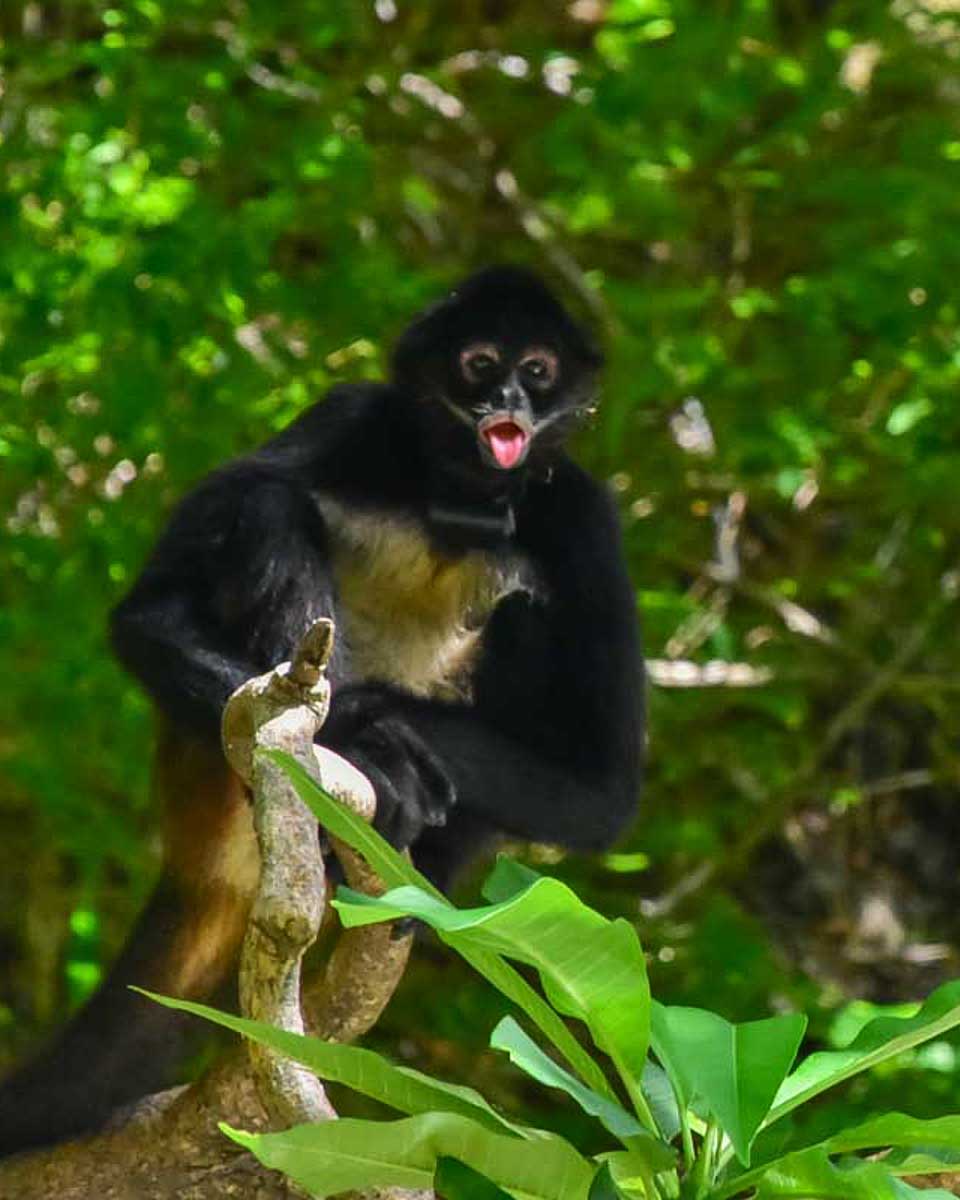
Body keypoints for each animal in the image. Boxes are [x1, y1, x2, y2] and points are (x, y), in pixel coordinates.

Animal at [0, 266, 644, 1154]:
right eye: (479, 362)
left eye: (539, 370)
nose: (507, 396)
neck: (456, 500)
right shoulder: (350, 411)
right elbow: (149, 617)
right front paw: (369, 732)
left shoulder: (585, 513)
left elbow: (599, 793)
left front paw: (386, 740)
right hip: (202, 765)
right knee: (274, 503)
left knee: (521, 608)